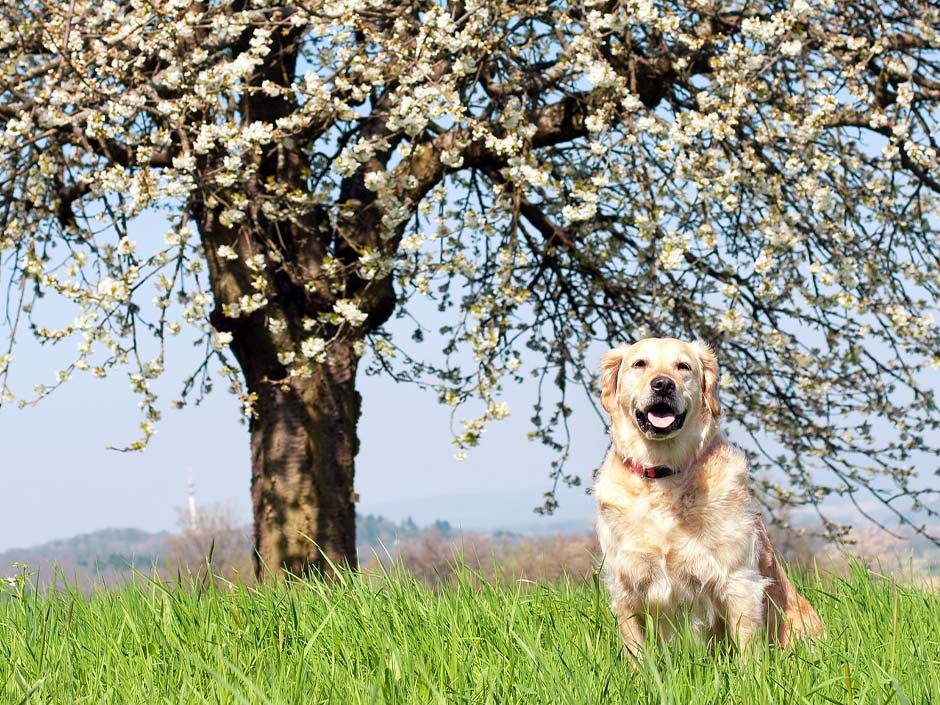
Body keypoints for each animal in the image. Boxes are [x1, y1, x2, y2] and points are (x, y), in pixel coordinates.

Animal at [596, 338, 824, 656]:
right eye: (639, 364)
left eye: (683, 366)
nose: (663, 384)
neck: (664, 472)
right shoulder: (626, 586)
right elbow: (637, 654)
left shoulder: (738, 580)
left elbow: (748, 651)